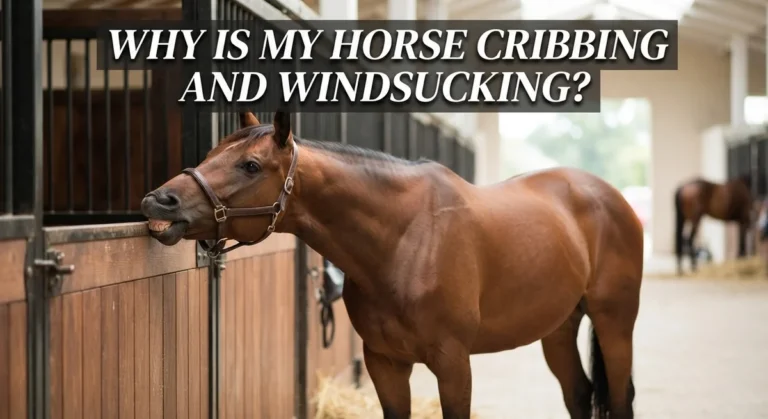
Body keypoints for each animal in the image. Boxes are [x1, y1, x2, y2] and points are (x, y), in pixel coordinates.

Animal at [141, 111, 644, 419]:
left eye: (249, 165)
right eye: (210, 154)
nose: (159, 201)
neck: (405, 241)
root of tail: (608, 195)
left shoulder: (453, 363)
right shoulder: (384, 362)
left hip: (614, 322)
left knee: (618, 397)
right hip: (558, 327)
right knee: (579, 394)